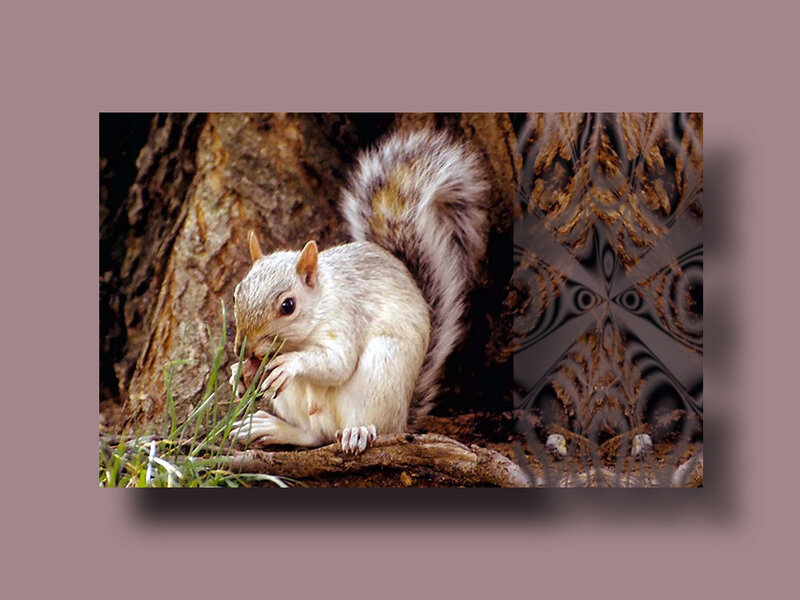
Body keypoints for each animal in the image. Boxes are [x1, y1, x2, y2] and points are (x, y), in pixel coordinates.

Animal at [227, 127, 489, 454]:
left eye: (288, 306)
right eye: (237, 293)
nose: (243, 348)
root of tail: (402, 416)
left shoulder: (345, 319)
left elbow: (338, 363)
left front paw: (290, 363)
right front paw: (238, 372)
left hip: (381, 371)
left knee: (366, 426)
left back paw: (358, 430)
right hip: (295, 402)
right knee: (313, 435)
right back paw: (269, 427)